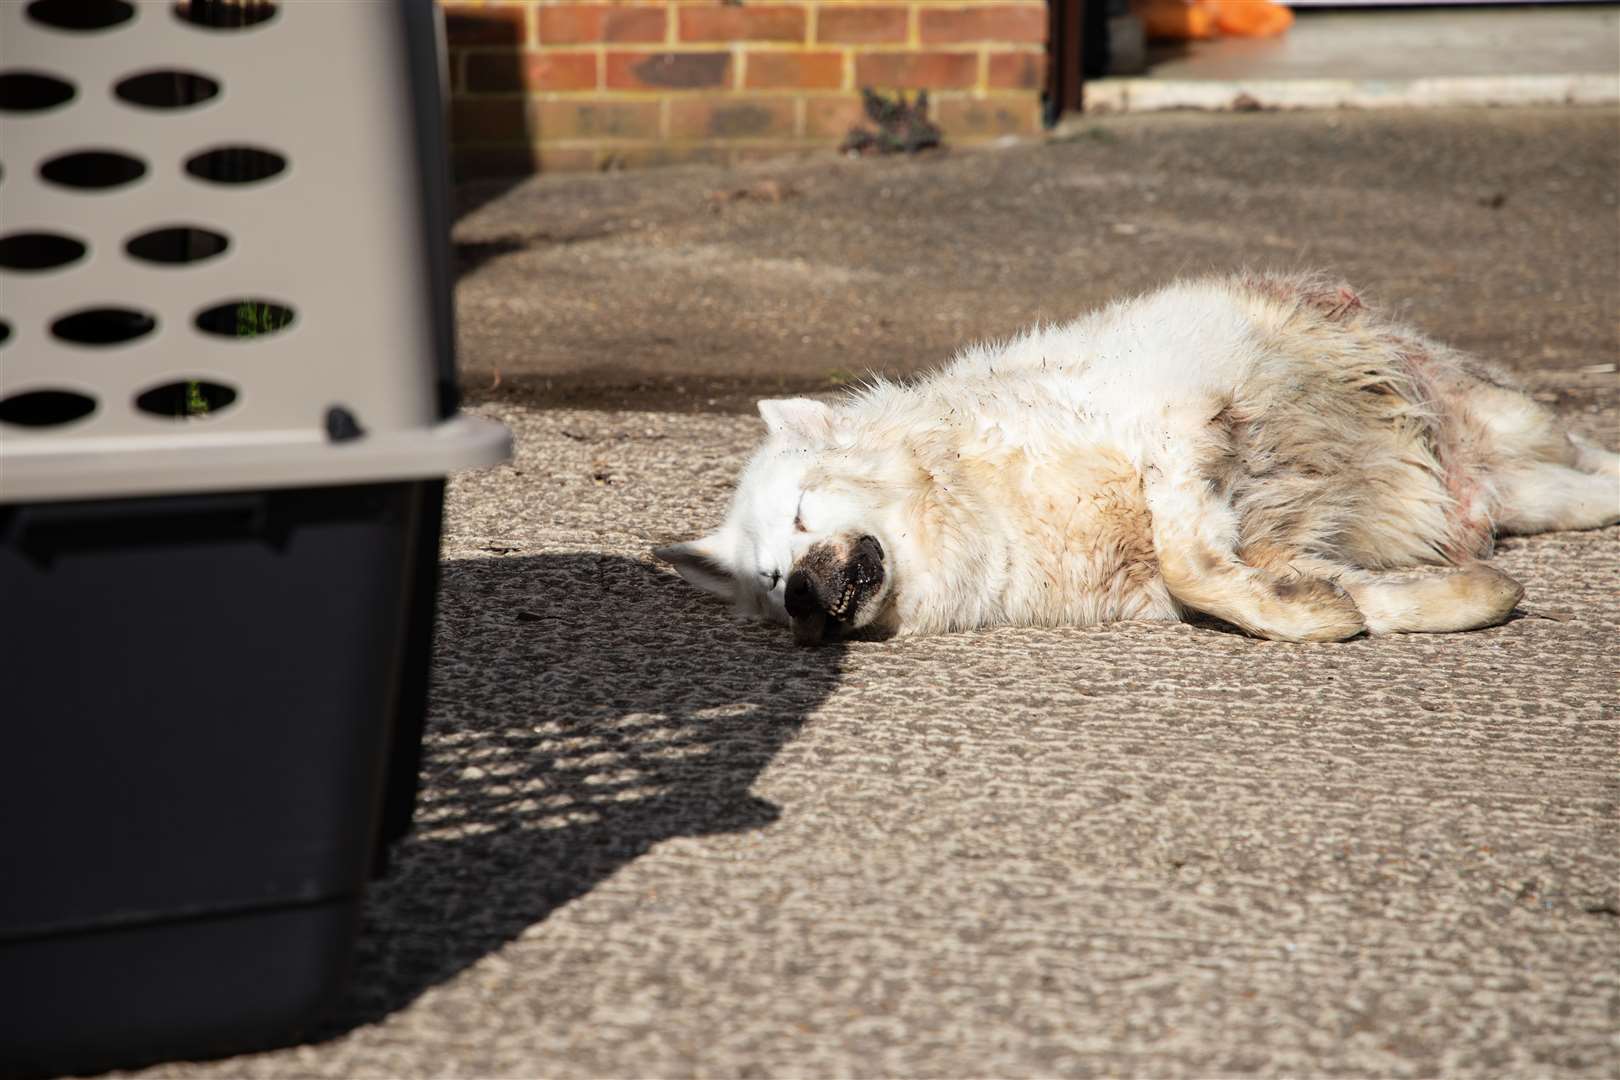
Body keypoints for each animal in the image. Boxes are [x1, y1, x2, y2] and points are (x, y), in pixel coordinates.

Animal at [657, 272, 1620, 641]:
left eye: (802, 515)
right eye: (770, 583)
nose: (804, 599)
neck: (1003, 506)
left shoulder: (1179, 431)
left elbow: (1195, 562)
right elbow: (1306, 591)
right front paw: (1451, 598)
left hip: (1520, 430)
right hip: (1531, 494)